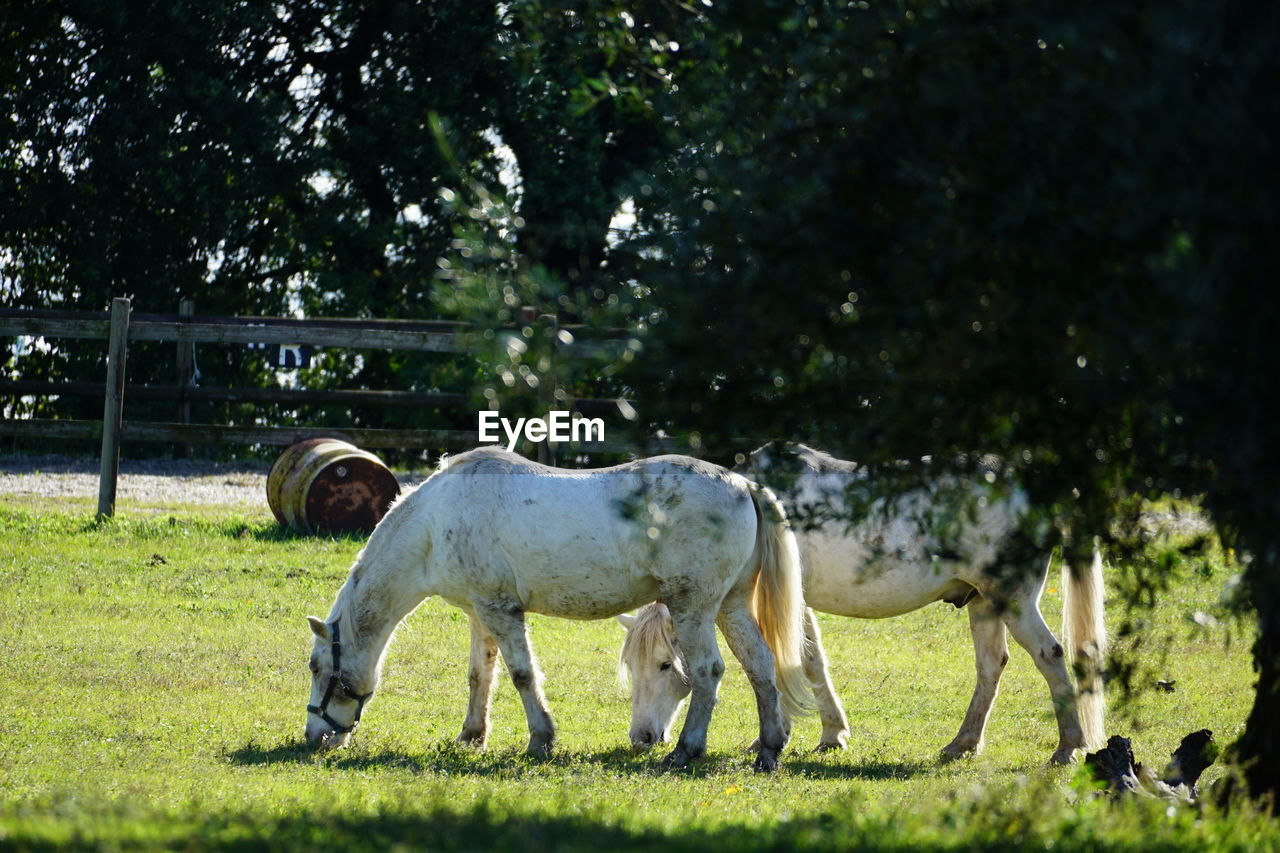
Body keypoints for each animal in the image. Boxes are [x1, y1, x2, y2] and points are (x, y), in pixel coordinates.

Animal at [302, 445, 808, 768]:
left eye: (318, 668)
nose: (315, 738)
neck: (436, 520)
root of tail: (743, 483)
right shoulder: (479, 612)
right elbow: (480, 675)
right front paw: (471, 736)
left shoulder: (501, 611)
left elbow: (522, 675)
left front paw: (541, 739)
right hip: (731, 607)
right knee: (761, 666)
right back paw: (768, 748)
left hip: (693, 609)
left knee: (707, 672)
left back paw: (686, 750)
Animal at [614, 440, 1105, 758]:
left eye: (663, 664)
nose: (642, 737)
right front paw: (825, 733)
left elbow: (796, 659)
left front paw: (800, 735)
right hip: (985, 603)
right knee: (991, 666)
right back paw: (962, 744)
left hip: (1014, 600)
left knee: (1049, 655)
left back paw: (1069, 747)